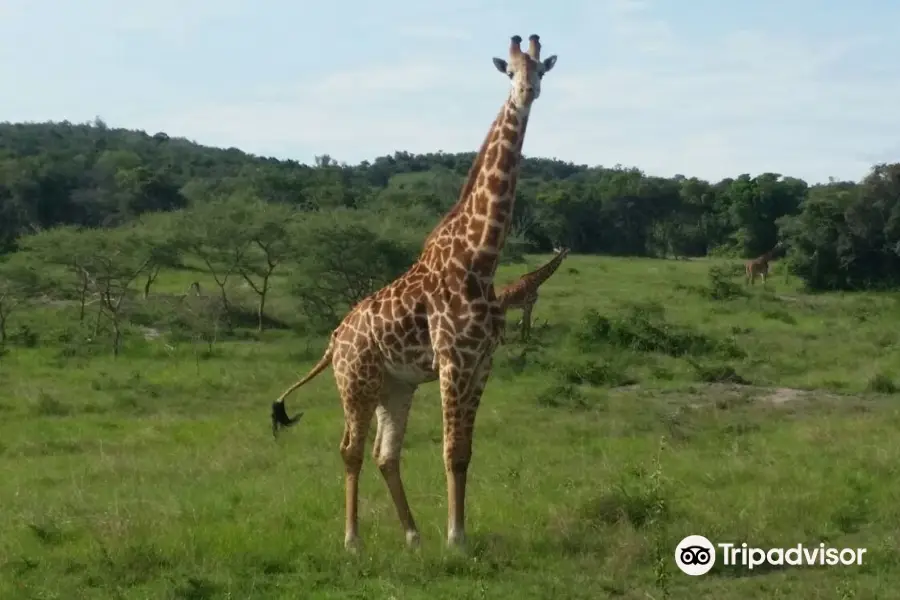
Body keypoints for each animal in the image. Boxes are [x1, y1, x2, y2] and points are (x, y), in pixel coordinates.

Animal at [270, 32, 560, 552]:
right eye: (509, 72)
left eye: (540, 69)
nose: (527, 94)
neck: (480, 258)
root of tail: (333, 343)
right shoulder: (453, 360)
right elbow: (451, 450)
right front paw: (456, 539)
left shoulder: (482, 363)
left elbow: (465, 452)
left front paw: (452, 534)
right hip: (357, 384)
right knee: (350, 450)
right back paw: (353, 541)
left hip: (395, 387)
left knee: (385, 454)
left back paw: (412, 535)